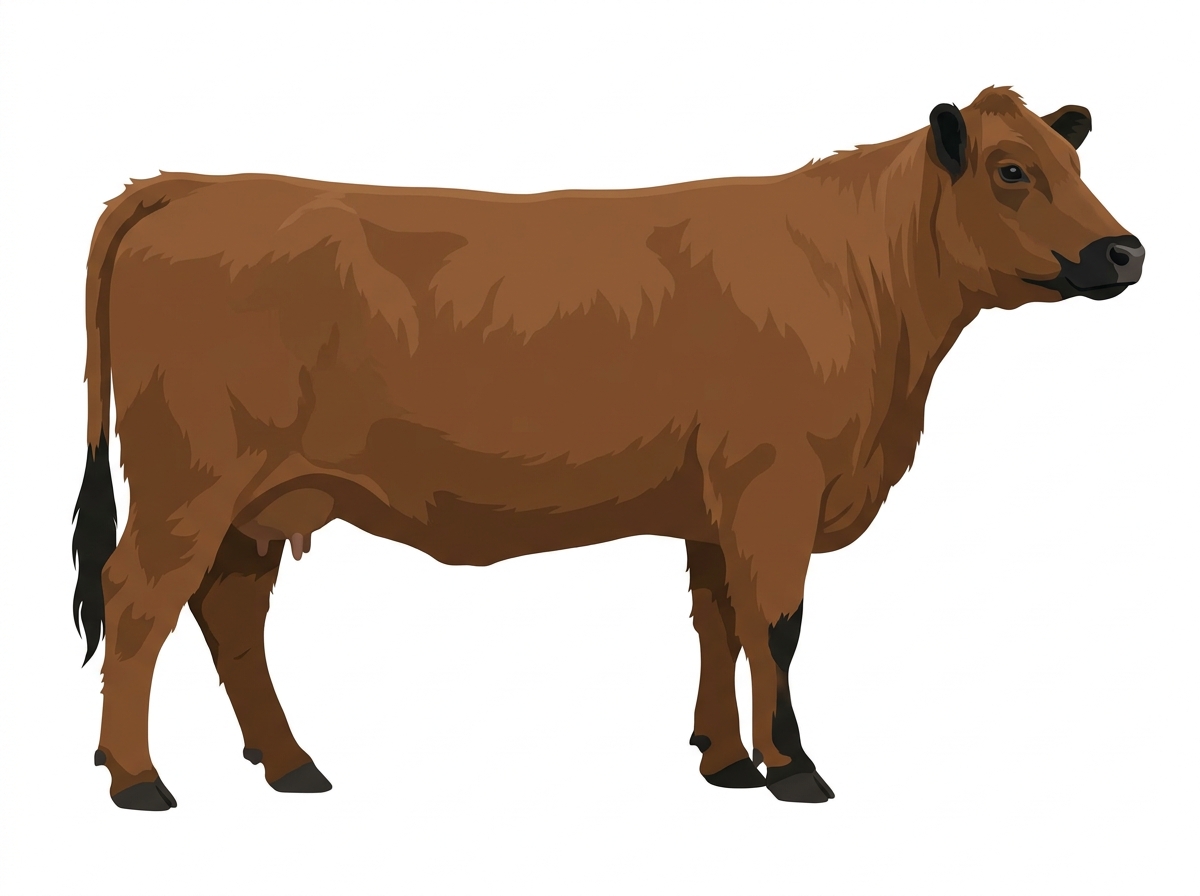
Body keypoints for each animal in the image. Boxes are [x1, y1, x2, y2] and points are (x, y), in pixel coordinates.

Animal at [72, 86, 1144, 810]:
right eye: (1013, 170)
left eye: (1077, 165)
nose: (1125, 250)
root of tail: (189, 185)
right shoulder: (776, 483)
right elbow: (779, 626)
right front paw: (794, 767)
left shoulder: (718, 503)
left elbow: (720, 623)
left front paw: (726, 761)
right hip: (189, 479)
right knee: (138, 599)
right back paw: (138, 780)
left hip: (257, 497)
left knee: (229, 612)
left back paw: (291, 764)